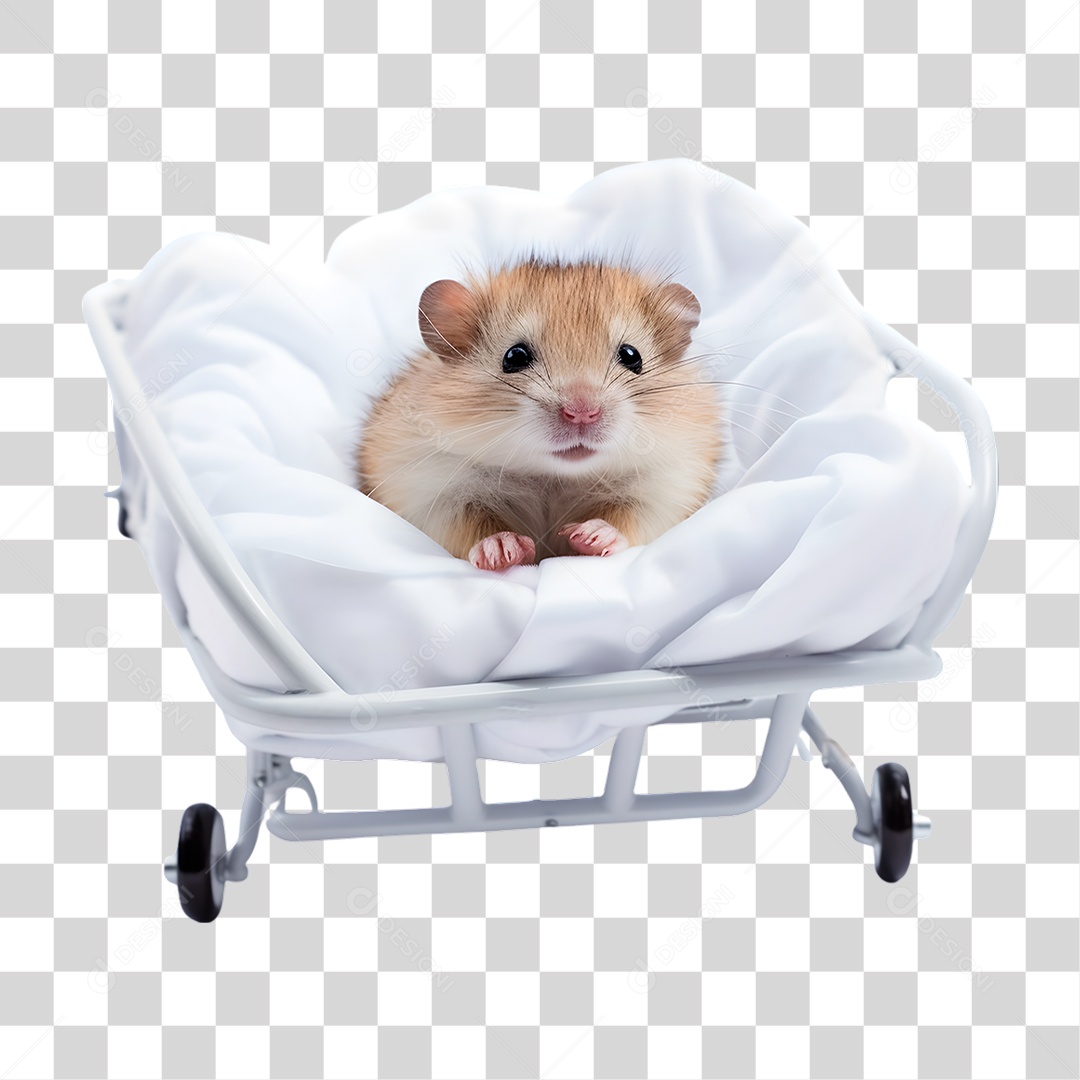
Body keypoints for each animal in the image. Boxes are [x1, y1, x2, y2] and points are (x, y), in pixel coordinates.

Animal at [355, 255, 722, 571]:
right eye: (514, 356)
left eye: (632, 356)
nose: (581, 413)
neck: (552, 477)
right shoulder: (430, 492)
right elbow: (471, 526)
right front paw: (503, 550)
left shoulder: (669, 487)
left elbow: (627, 518)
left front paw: (590, 536)